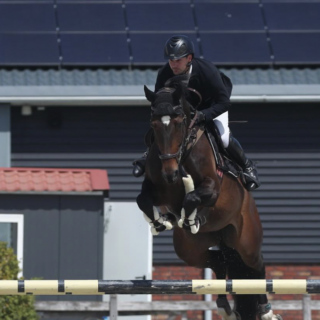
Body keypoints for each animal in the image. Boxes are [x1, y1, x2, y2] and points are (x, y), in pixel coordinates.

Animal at [135, 79, 282, 320]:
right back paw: (224, 306)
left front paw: (189, 218)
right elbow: (142, 199)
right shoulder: (156, 188)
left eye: (178, 123)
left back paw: (266, 312)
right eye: (153, 125)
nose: (170, 174)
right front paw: (161, 221)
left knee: (256, 267)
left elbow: (192, 197)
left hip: (246, 241)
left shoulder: (212, 189)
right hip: (191, 250)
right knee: (218, 262)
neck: (183, 152)